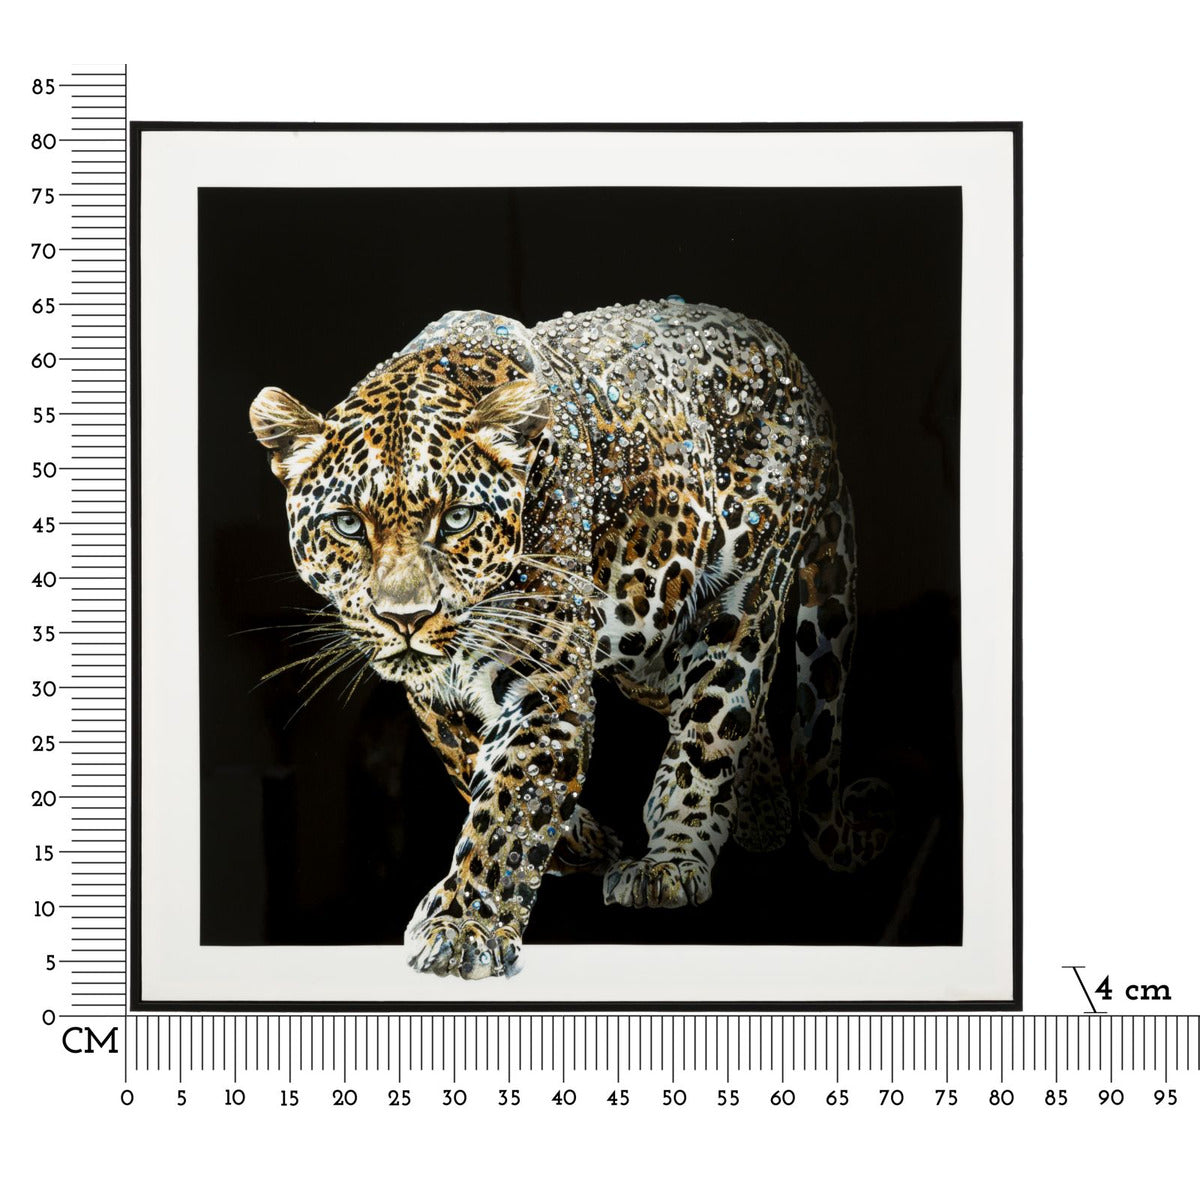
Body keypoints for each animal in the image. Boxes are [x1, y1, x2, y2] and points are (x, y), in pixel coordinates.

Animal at [250, 299, 890, 980]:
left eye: (457, 519)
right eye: (348, 524)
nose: (406, 617)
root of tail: (801, 374)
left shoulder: (549, 681)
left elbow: (510, 800)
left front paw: (464, 926)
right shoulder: (437, 694)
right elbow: (470, 759)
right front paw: (575, 840)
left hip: (742, 596)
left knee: (715, 722)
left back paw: (672, 860)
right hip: (647, 636)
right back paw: (763, 814)